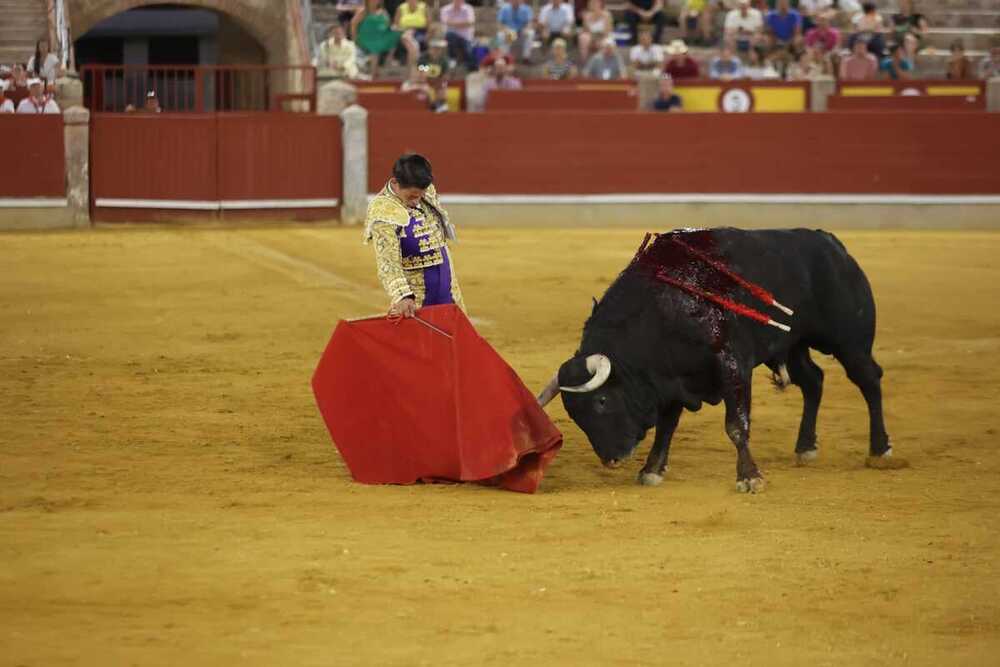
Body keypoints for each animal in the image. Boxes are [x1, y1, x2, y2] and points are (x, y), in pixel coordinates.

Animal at [540, 227, 900, 494]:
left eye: (601, 401)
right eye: (573, 413)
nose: (612, 459)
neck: (662, 309)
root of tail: (832, 243)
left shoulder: (732, 365)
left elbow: (736, 425)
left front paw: (750, 478)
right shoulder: (670, 379)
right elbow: (667, 426)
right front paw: (652, 470)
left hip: (848, 341)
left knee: (869, 379)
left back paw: (880, 450)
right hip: (793, 344)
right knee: (814, 381)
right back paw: (805, 447)